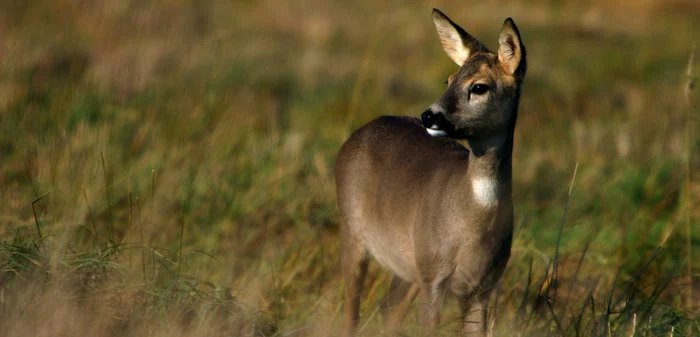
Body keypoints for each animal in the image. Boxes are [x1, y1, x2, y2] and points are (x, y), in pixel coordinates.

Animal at [334, 7, 524, 336]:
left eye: (479, 86)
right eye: (448, 79)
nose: (429, 116)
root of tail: (356, 135)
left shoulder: (484, 285)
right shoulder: (433, 277)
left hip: (408, 266)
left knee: (388, 311)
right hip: (353, 228)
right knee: (352, 311)